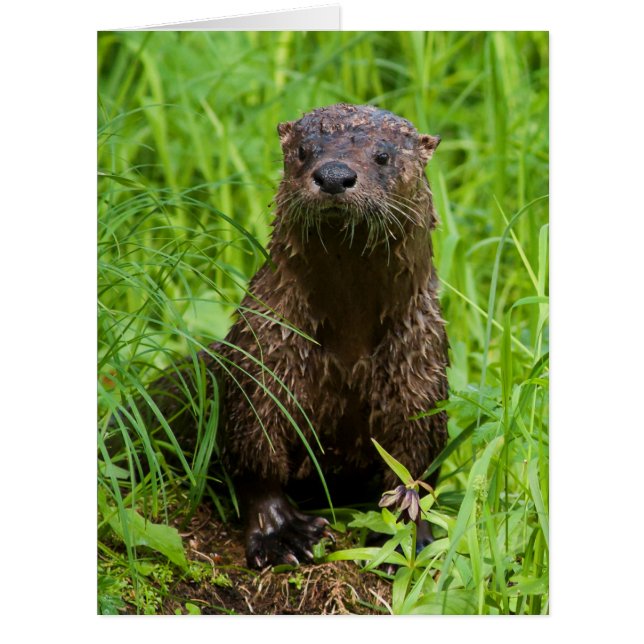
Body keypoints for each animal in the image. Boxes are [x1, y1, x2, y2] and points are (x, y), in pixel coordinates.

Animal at [215, 104, 449, 568]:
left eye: (382, 156)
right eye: (304, 151)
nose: (335, 174)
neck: (348, 348)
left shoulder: (421, 371)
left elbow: (412, 469)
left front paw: (408, 540)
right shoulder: (263, 355)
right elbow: (255, 455)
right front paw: (282, 533)